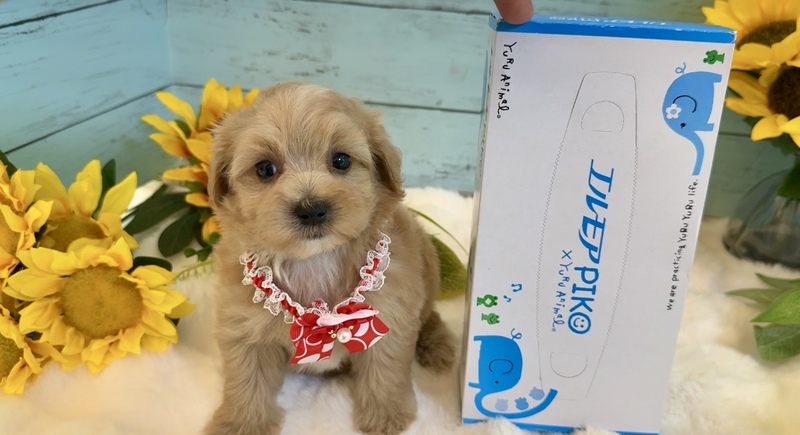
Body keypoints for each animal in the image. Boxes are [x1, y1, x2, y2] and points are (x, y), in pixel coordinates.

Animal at [204, 82, 456, 435]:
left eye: (340, 160)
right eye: (265, 169)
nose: (311, 209)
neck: (315, 261)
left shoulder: (389, 315)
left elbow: (385, 372)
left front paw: (386, 417)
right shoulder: (243, 328)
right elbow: (246, 381)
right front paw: (241, 424)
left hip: (428, 264)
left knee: (429, 315)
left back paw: (437, 346)